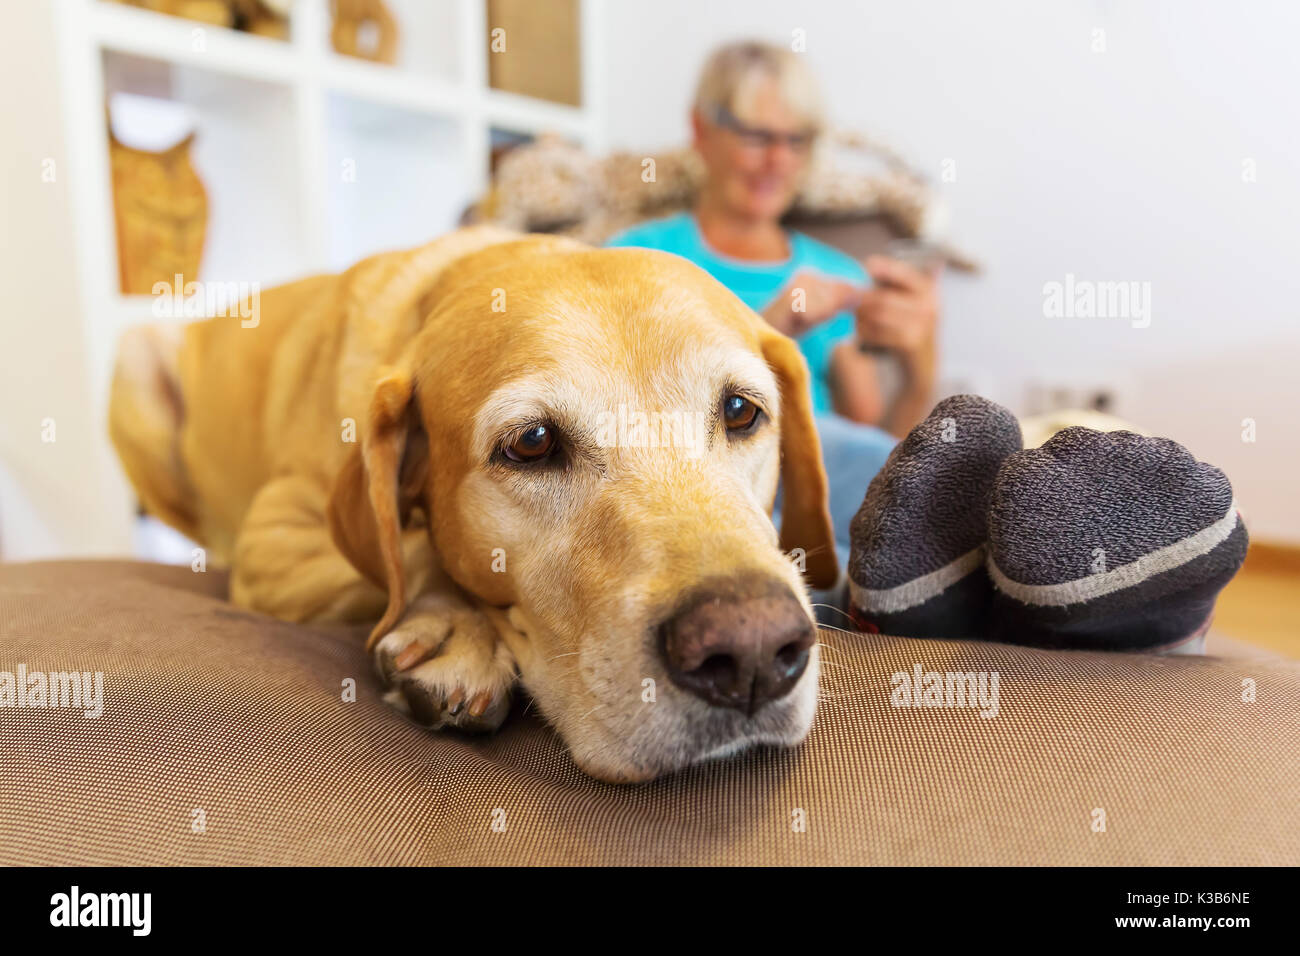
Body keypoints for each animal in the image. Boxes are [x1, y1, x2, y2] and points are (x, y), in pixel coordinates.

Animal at [114, 227, 842, 780]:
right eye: (532, 443)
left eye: (741, 410)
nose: (752, 651)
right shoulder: (274, 537)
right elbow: (410, 546)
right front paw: (453, 632)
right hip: (135, 365)